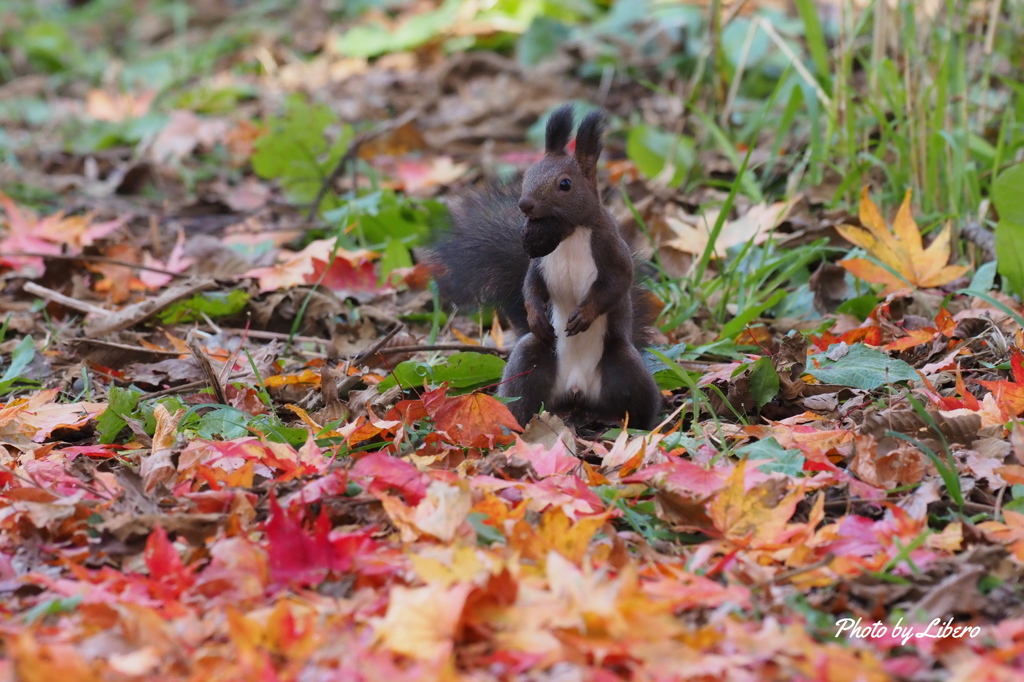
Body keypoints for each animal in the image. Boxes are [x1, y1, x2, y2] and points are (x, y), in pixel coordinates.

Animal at [425, 103, 659, 428]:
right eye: (527, 175)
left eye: (565, 184)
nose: (525, 204)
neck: (568, 233)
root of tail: (576, 390)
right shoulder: (538, 262)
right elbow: (531, 286)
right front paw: (536, 316)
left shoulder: (612, 250)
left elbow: (618, 283)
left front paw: (584, 314)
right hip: (529, 360)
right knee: (521, 397)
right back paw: (513, 425)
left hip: (625, 365)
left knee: (639, 402)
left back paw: (646, 427)